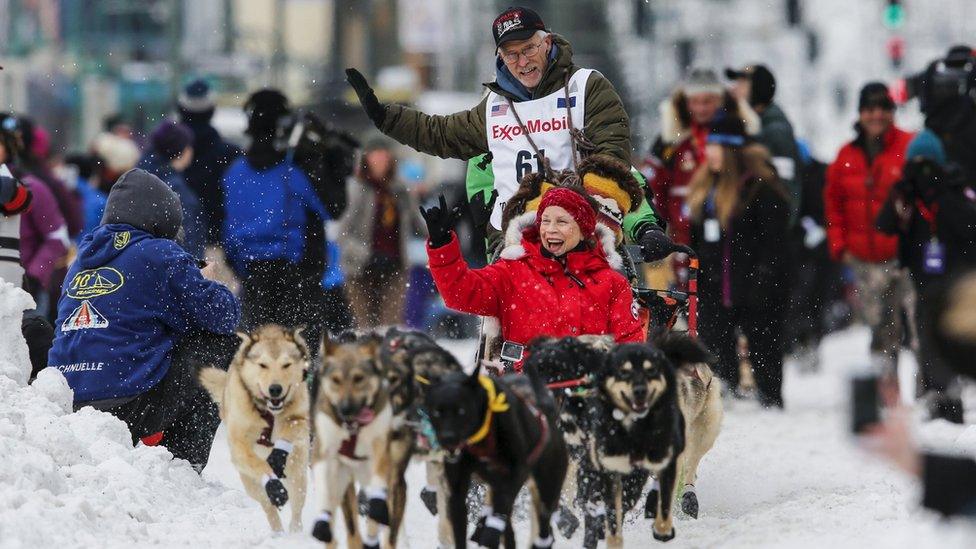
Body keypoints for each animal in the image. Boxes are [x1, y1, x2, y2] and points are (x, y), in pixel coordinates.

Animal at [201, 324, 314, 532]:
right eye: (263, 365)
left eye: (286, 365)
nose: (275, 389)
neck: (268, 412)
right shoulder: (239, 443)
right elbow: (259, 464)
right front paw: (272, 481)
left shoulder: (300, 418)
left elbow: (291, 428)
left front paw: (277, 455)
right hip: (251, 484)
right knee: (268, 506)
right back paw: (278, 531)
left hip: (297, 472)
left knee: (296, 506)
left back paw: (294, 531)